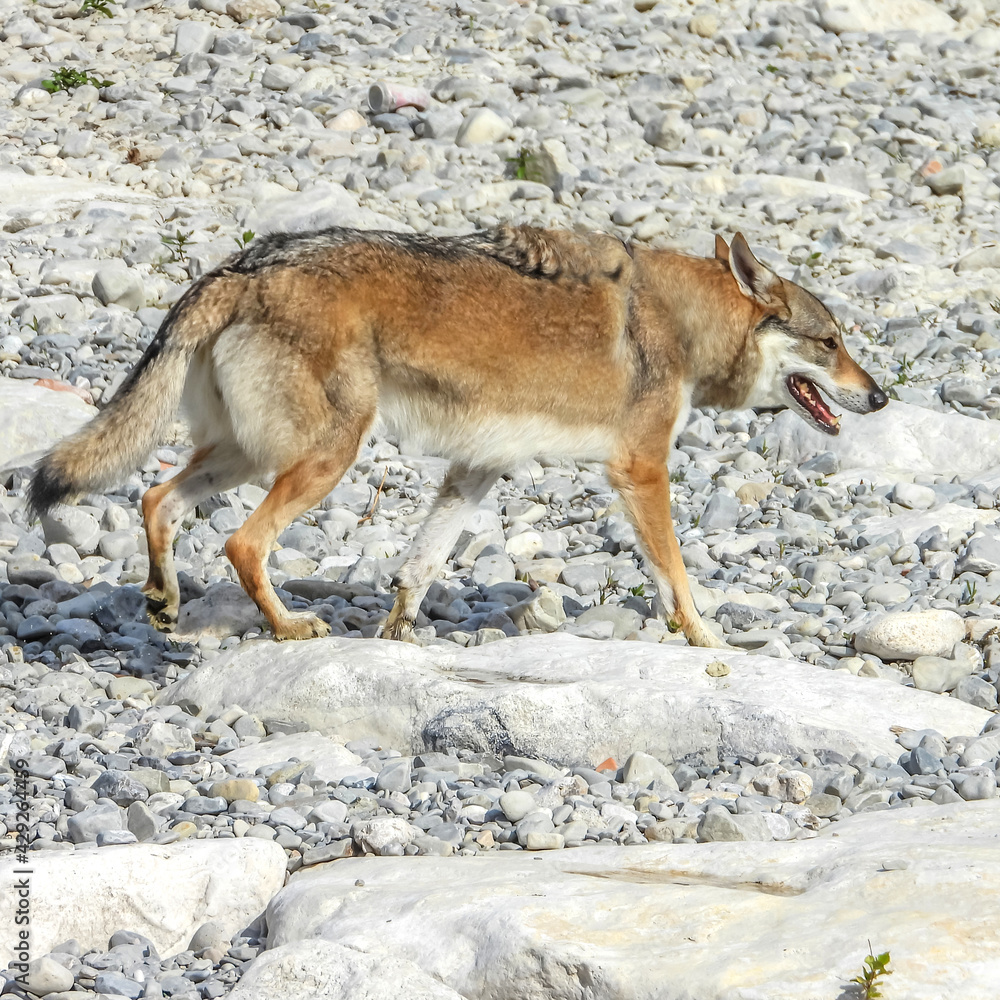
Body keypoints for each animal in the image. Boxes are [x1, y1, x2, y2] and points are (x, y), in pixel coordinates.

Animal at [27, 225, 887, 648]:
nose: (881, 395)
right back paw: (288, 626)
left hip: (248, 456)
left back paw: (163, 602)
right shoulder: (641, 472)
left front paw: (399, 637)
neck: (680, 326)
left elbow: (419, 567)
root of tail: (241, 266)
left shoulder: (477, 469)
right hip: (321, 459)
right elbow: (677, 577)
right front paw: (708, 642)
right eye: (831, 343)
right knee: (241, 543)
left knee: (156, 498)